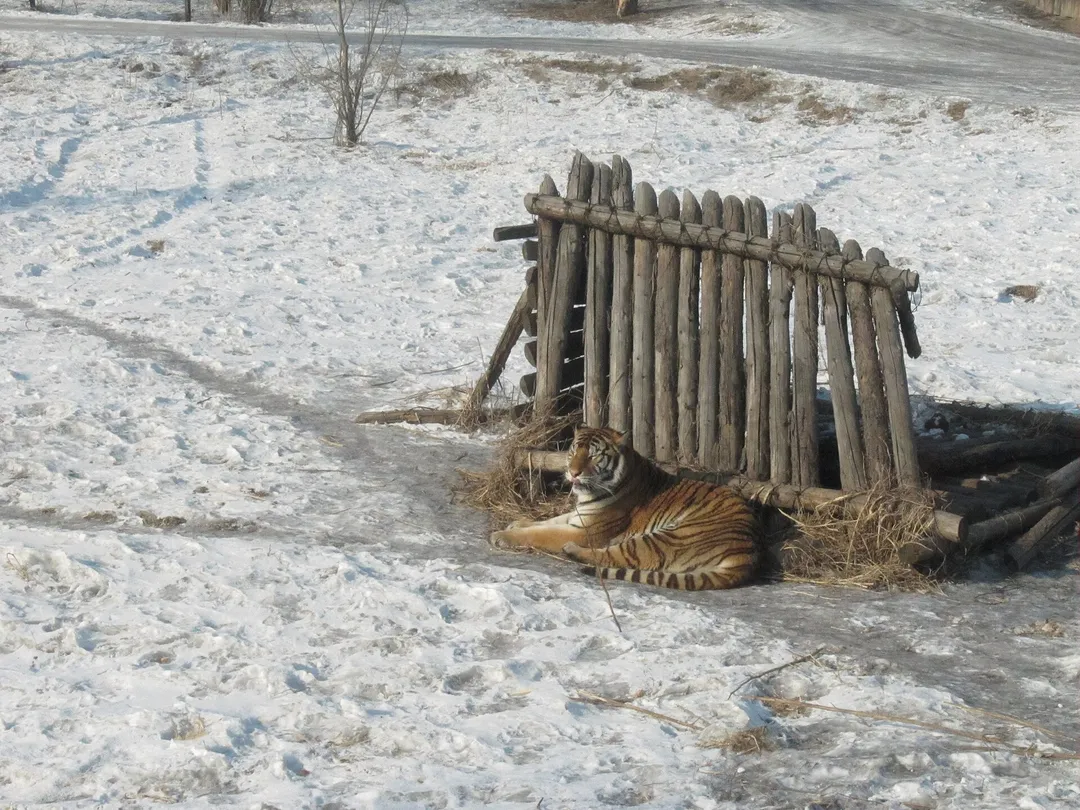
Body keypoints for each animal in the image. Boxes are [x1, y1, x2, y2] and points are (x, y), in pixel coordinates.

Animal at [489, 426, 761, 590]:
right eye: (573, 451)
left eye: (593, 456)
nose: (572, 472)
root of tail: (748, 552)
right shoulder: (579, 516)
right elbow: (549, 521)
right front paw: (517, 523)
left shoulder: (587, 530)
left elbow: (543, 532)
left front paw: (502, 535)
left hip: (667, 537)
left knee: (614, 555)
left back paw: (571, 550)